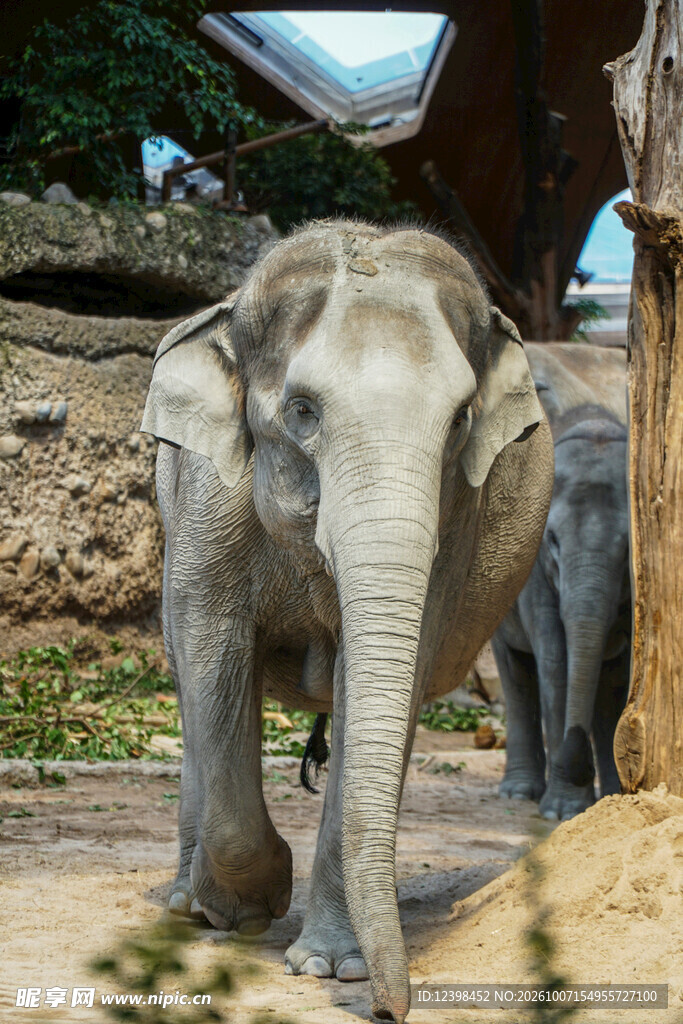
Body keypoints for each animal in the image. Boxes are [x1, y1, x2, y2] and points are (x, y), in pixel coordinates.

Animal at [141, 220, 553, 1024]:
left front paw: (331, 967)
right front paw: (248, 907)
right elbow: (210, 647)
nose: (393, 1010)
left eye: (461, 421)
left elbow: (389, 677)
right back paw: (186, 904)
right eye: (303, 410)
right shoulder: (208, 496)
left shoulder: (454, 525)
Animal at [492, 342, 631, 820]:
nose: (575, 760)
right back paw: (519, 793)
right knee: (516, 671)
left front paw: (607, 802)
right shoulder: (532, 565)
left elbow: (616, 676)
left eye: (629, 549)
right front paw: (562, 813)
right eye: (551, 541)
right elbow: (555, 658)